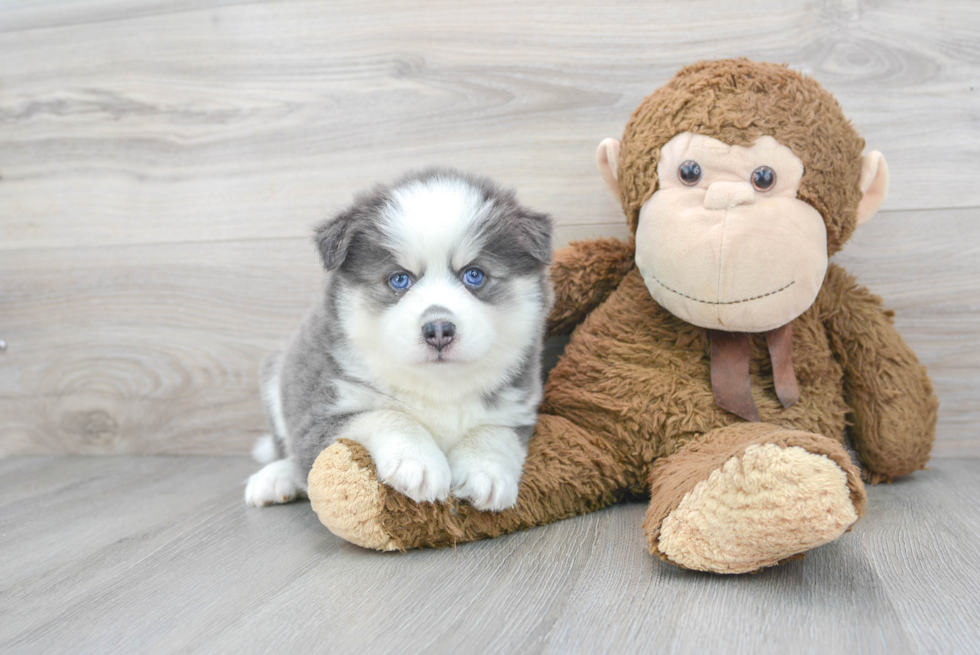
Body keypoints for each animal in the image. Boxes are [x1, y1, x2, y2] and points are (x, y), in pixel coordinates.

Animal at [245, 168, 552, 512]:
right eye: (399, 279)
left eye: (474, 275)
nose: (439, 330)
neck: (437, 388)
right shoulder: (319, 414)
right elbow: (385, 415)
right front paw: (417, 460)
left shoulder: (518, 408)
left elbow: (494, 431)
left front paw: (486, 470)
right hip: (277, 374)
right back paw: (274, 478)